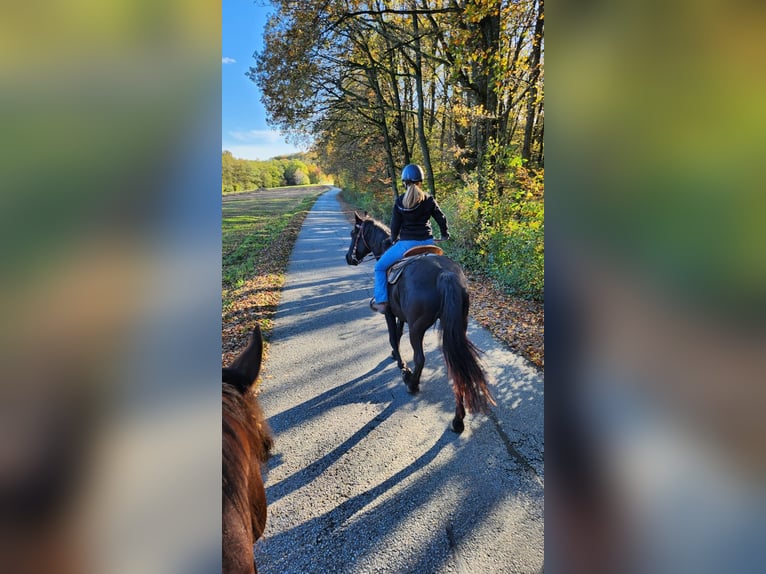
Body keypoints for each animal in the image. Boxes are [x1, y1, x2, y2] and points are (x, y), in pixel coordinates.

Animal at [344, 212, 496, 432]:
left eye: (353, 234)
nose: (349, 258)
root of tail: (445, 274)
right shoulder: (401, 315)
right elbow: (398, 333)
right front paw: (394, 356)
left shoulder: (389, 312)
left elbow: (393, 336)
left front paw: (401, 364)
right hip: (457, 327)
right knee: (455, 366)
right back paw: (458, 419)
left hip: (417, 328)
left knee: (420, 359)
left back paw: (411, 383)